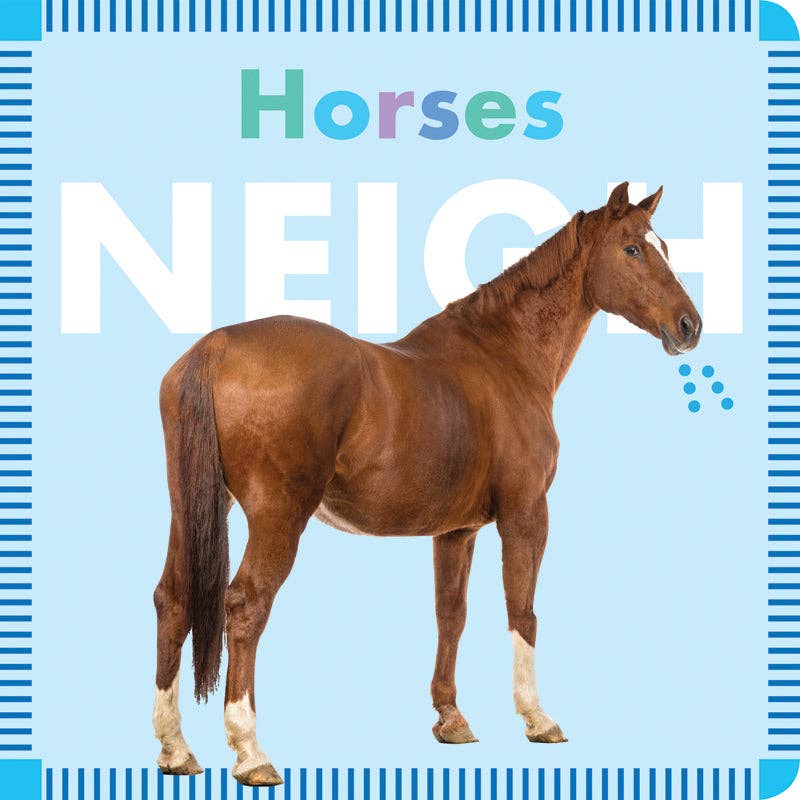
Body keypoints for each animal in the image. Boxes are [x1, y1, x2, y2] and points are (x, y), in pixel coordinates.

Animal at [152, 181, 701, 786]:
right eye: (632, 249)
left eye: (663, 246)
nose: (689, 326)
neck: (504, 355)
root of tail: (215, 347)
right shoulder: (526, 513)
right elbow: (522, 610)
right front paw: (537, 718)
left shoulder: (456, 531)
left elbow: (451, 615)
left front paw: (451, 718)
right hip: (278, 517)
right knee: (246, 606)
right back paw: (251, 752)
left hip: (192, 509)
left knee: (172, 600)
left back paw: (176, 749)